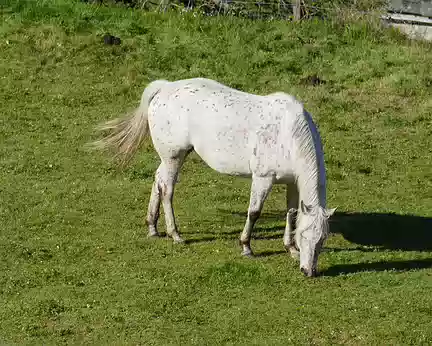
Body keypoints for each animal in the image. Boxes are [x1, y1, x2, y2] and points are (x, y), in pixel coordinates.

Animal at [93, 77, 336, 276]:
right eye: (305, 236)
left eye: (322, 239)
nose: (309, 271)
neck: (288, 134)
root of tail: (165, 87)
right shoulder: (263, 179)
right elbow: (254, 212)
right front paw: (246, 246)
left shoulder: (292, 183)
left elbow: (292, 214)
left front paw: (290, 249)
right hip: (174, 157)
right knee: (167, 190)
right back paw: (175, 234)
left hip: (171, 158)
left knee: (158, 181)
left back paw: (153, 227)